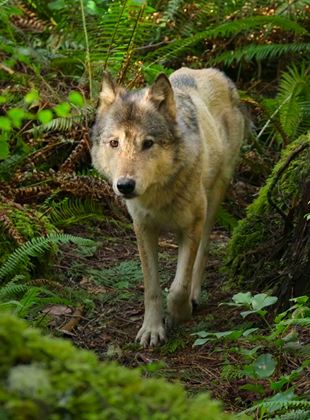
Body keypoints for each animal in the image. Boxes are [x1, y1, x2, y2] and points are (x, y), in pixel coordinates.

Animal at [91, 66, 246, 348]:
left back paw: (195, 295)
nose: (125, 186)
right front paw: (152, 329)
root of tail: (213, 71)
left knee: (202, 251)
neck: (159, 195)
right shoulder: (143, 228)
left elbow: (177, 288)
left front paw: (180, 313)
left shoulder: (192, 225)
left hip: (214, 198)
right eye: (114, 143)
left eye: (148, 143)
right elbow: (152, 288)